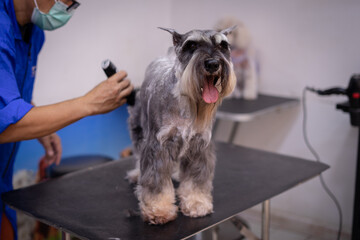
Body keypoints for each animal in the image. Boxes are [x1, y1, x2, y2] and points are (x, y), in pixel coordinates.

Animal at [126, 26, 236, 225]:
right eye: (191, 45)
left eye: (223, 45)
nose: (213, 64)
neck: (187, 103)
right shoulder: (158, 146)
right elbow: (156, 182)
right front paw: (158, 210)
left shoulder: (199, 146)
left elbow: (196, 180)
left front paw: (197, 203)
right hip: (138, 128)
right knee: (139, 156)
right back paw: (137, 174)